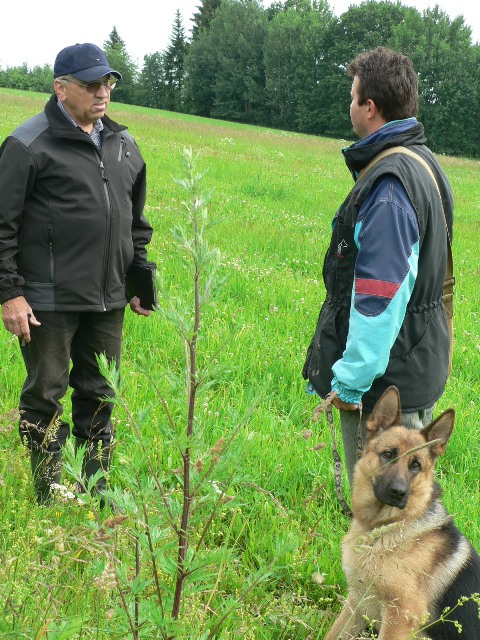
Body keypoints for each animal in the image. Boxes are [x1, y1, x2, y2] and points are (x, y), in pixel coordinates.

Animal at [326, 384, 480, 640]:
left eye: (415, 465)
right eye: (388, 454)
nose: (398, 493)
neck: (385, 528)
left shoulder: (400, 618)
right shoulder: (357, 604)